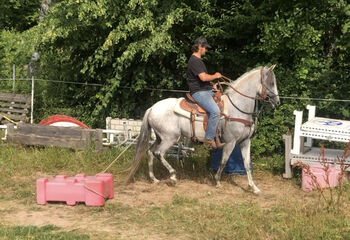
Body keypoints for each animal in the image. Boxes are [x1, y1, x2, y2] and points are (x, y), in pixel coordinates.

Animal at [127, 65, 280, 195]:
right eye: (272, 82)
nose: (277, 102)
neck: (237, 107)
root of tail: (152, 108)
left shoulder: (245, 141)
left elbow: (247, 164)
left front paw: (254, 188)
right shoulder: (230, 142)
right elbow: (223, 161)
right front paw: (217, 181)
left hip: (160, 138)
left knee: (150, 152)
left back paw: (154, 179)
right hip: (169, 138)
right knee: (158, 153)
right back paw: (173, 176)